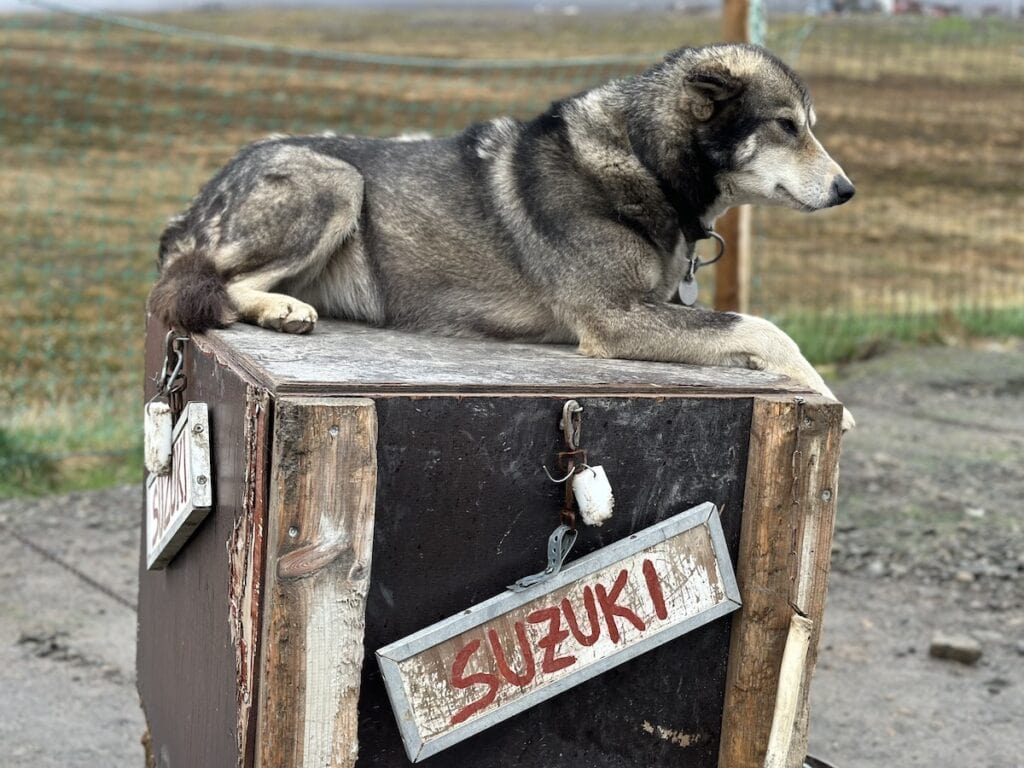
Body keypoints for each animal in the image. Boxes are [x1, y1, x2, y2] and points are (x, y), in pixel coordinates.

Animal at [149, 43, 856, 428]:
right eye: (787, 126)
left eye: (808, 125)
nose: (848, 190)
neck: (643, 158)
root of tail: (194, 206)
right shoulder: (616, 318)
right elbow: (763, 328)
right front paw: (835, 404)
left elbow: (747, 334)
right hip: (337, 180)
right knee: (216, 284)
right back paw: (282, 309)